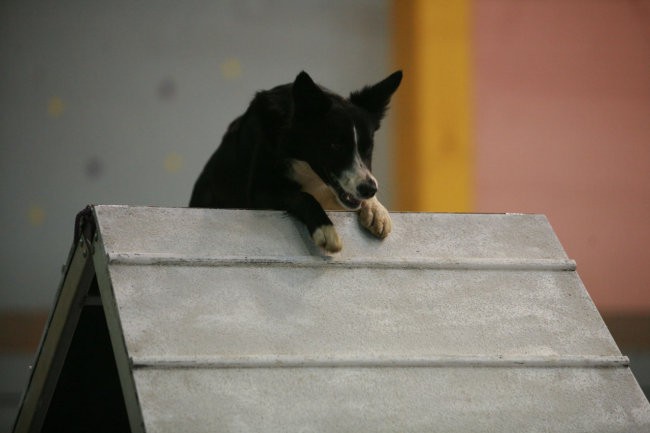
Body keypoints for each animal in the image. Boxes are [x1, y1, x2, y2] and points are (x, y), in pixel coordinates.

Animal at [187, 70, 400, 253]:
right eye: (335, 145)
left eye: (368, 148)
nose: (369, 189)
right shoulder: (259, 191)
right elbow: (302, 196)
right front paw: (325, 229)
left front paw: (376, 210)